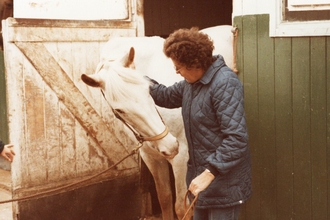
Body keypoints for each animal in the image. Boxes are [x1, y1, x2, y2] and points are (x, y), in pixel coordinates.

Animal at [81, 24, 233, 219]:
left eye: (148, 90)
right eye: (119, 110)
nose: (170, 145)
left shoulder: (181, 157)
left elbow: (182, 207)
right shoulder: (151, 157)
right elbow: (165, 199)